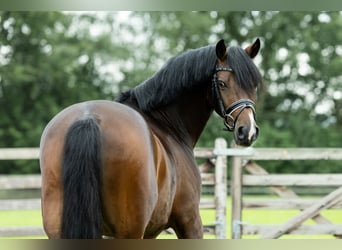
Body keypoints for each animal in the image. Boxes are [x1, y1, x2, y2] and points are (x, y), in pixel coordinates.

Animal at [39, 38, 262, 238]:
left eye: (254, 85)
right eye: (222, 83)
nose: (247, 131)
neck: (167, 123)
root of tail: (89, 117)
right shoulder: (190, 221)